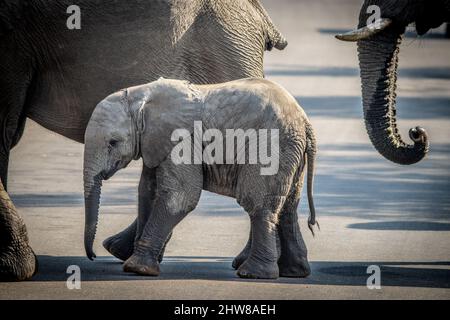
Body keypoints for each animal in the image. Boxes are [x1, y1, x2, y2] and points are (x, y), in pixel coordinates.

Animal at [83, 76, 316, 278]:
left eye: (113, 142)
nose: (92, 256)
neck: (140, 96)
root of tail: (305, 122)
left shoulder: (181, 139)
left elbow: (181, 196)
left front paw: (137, 268)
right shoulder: (154, 142)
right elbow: (147, 192)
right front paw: (141, 263)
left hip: (271, 146)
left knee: (258, 203)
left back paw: (253, 274)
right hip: (290, 149)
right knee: (288, 205)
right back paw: (294, 272)